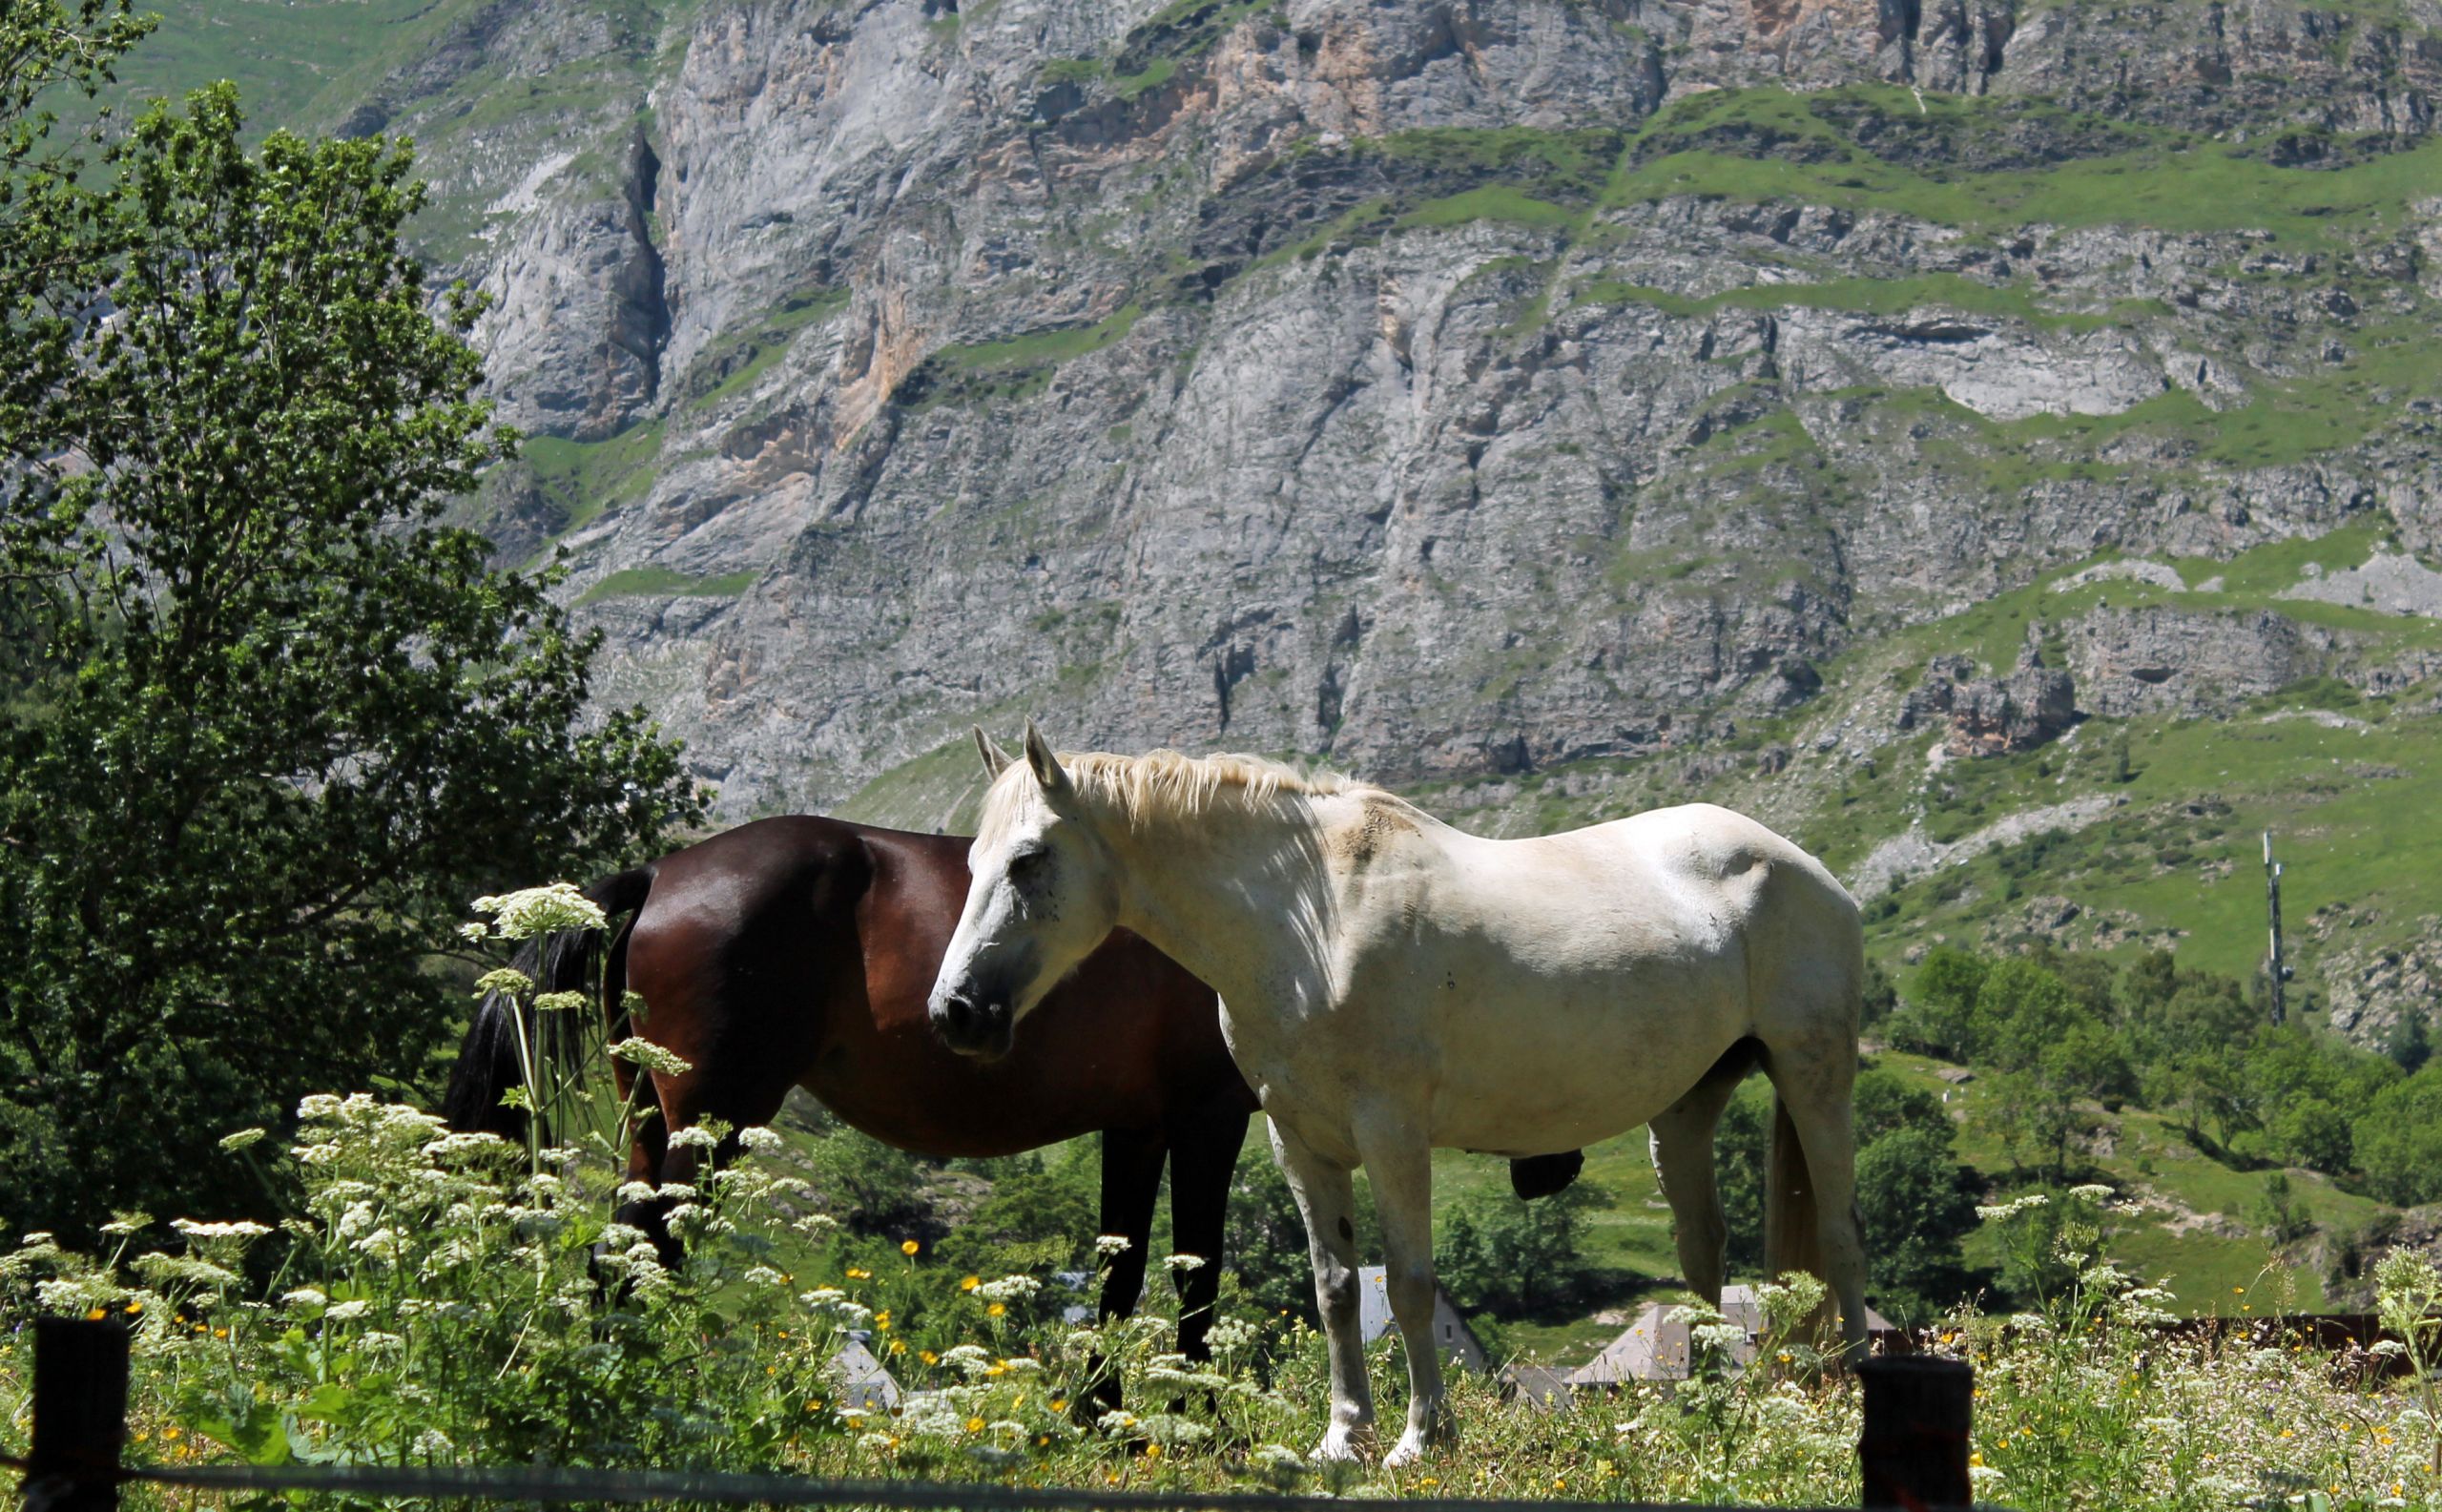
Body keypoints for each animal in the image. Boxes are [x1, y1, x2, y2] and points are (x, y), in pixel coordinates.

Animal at [437, 816, 1582, 1357]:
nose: (1556, 1164)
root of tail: (664, 874)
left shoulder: (1137, 1128)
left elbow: (1123, 1279)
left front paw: (1106, 1415)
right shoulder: (1205, 1122)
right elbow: (1195, 1279)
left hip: (653, 1122)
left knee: (623, 1253)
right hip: (707, 1125)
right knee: (640, 1254)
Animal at [922, 728, 1855, 1465]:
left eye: (1029, 859)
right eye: (969, 862)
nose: (955, 1012)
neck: (1313, 919)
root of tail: (1803, 866)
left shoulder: (1393, 1132)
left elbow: (1409, 1283)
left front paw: (1421, 1437)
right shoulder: (1300, 1139)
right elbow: (1336, 1286)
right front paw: (1345, 1437)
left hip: (1815, 1075)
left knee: (1841, 1238)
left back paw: (1846, 1390)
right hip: (1686, 1107)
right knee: (1704, 1250)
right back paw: (1704, 1407)